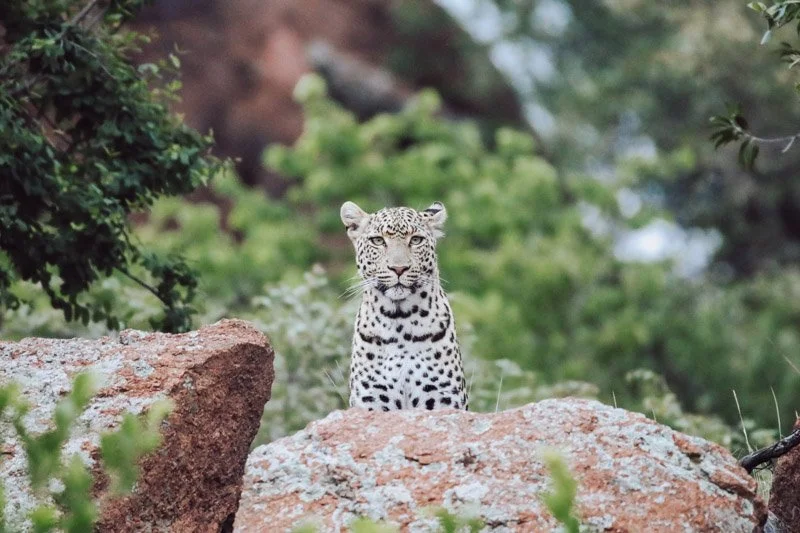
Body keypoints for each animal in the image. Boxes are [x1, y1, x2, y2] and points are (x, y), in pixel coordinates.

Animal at [340, 200, 468, 411]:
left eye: (416, 240)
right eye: (378, 241)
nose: (398, 268)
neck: (399, 318)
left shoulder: (442, 397)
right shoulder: (372, 399)